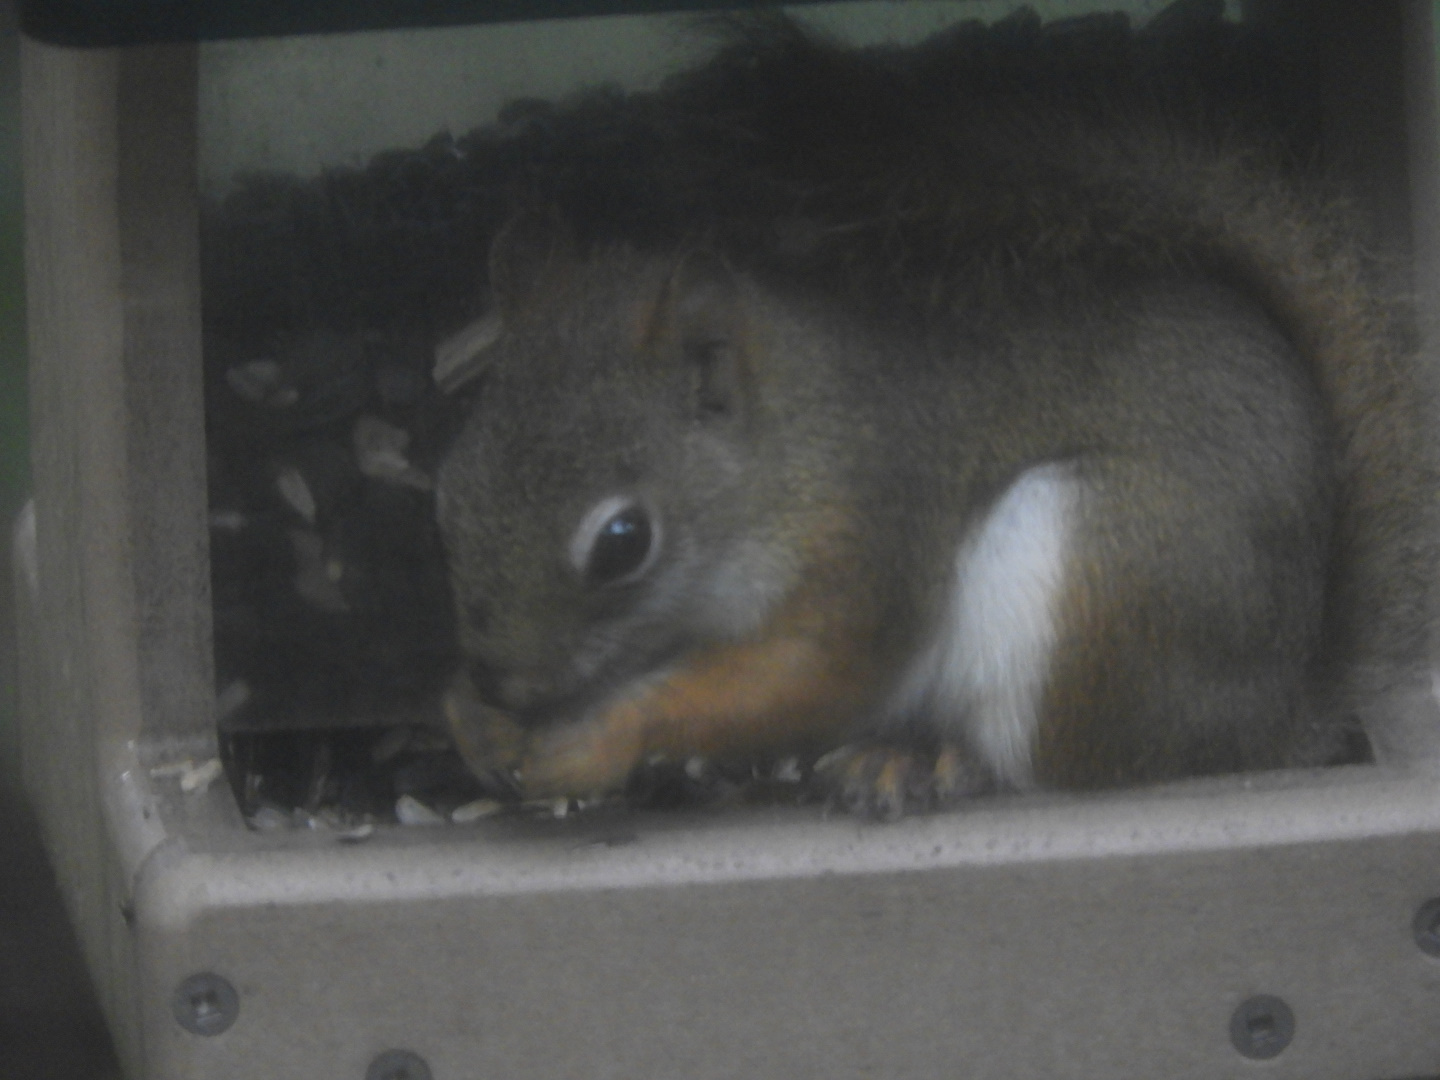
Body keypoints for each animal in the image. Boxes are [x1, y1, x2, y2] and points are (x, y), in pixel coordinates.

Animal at [432, 13, 1437, 818]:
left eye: (623, 540)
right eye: (451, 489)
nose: (504, 677)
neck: (785, 448)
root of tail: (1268, 720)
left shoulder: (868, 531)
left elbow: (812, 672)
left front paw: (594, 737)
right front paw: (476, 725)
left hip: (1098, 577)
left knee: (1051, 767)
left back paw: (919, 763)